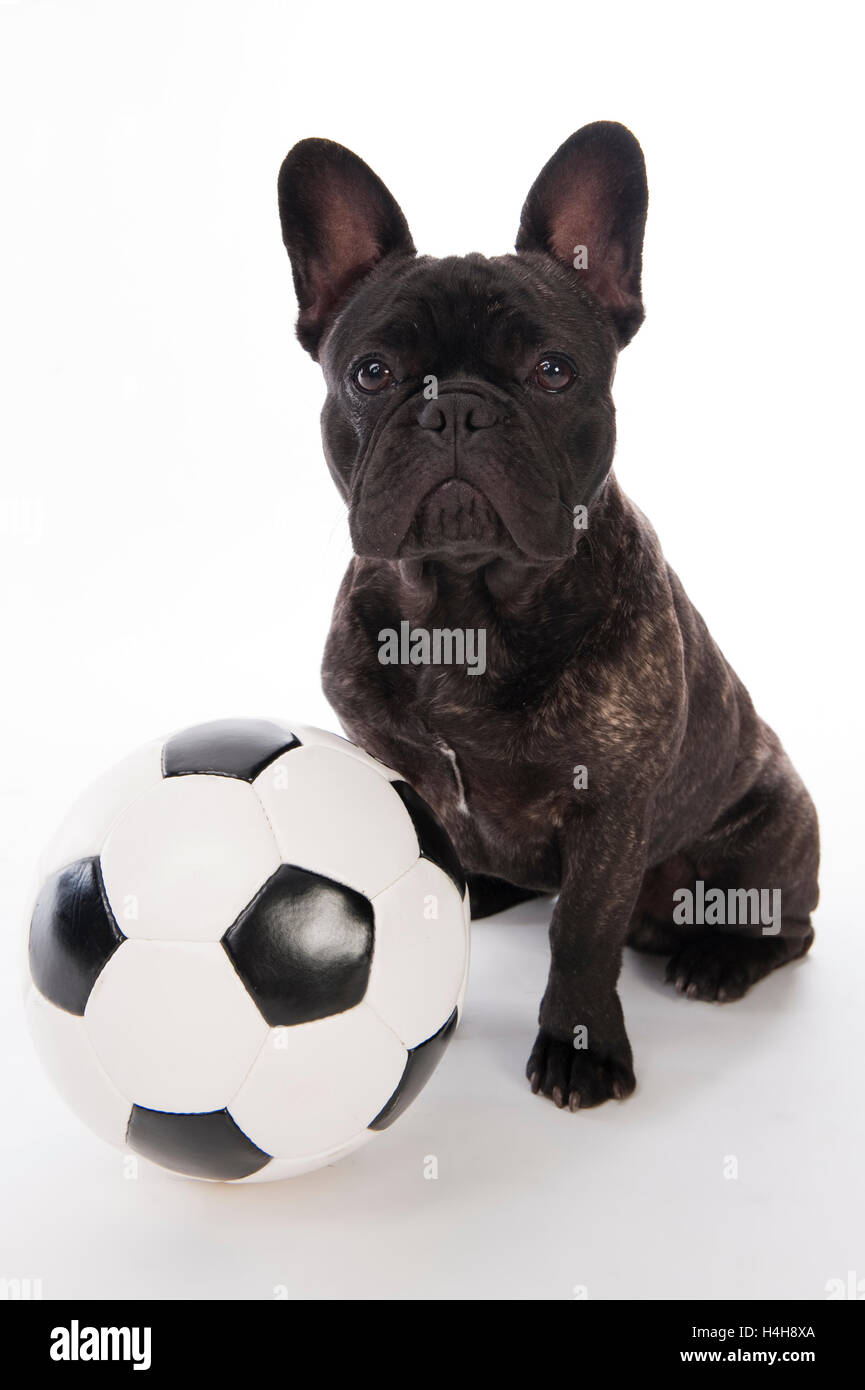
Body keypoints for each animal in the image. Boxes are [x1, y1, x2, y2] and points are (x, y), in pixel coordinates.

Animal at [276, 125, 817, 1112]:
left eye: (552, 372)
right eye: (372, 373)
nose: (455, 408)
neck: (465, 605)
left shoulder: (607, 806)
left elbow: (582, 933)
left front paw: (579, 1045)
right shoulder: (390, 764)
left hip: (767, 833)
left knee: (786, 926)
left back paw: (716, 960)